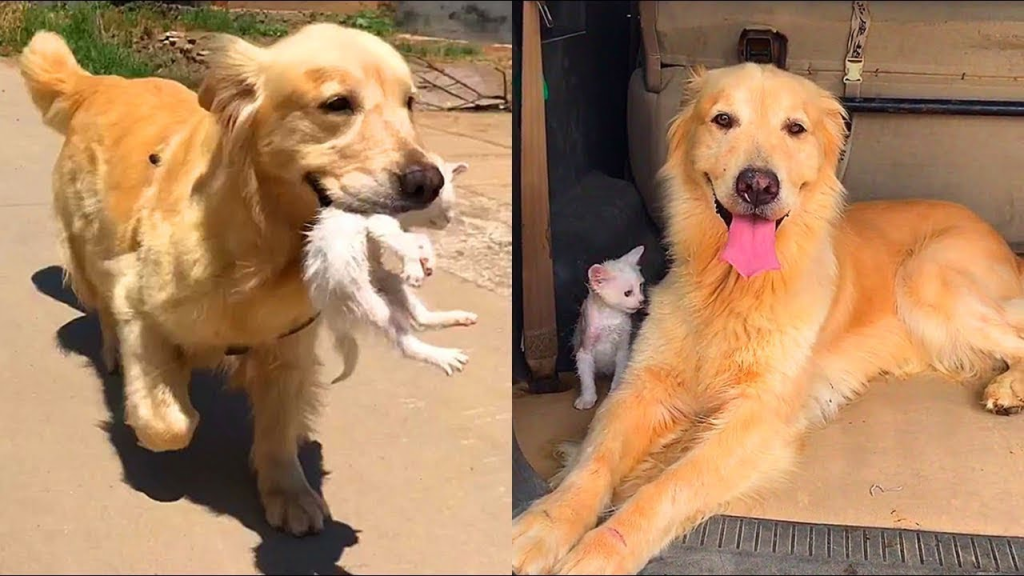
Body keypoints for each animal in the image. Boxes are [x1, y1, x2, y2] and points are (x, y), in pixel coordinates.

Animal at [19, 23, 444, 532]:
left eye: (410, 102)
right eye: (338, 104)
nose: (428, 182)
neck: (265, 244)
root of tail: (104, 82)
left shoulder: (289, 343)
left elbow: (280, 425)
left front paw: (289, 492)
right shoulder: (139, 303)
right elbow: (171, 425)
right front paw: (167, 406)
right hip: (89, 249)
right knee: (102, 307)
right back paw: (115, 352)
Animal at [299, 158, 475, 379]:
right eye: (446, 202)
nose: (449, 220)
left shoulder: (396, 228)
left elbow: (417, 240)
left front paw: (425, 261)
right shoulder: (378, 221)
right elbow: (409, 240)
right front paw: (417, 265)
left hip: (387, 279)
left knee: (419, 316)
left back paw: (450, 317)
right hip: (368, 303)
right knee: (404, 343)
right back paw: (441, 356)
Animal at [573, 243, 643, 409]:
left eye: (641, 286)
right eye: (628, 293)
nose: (641, 301)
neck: (610, 317)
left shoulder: (623, 350)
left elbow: (619, 373)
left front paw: (615, 393)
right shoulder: (584, 352)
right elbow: (587, 380)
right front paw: (587, 399)